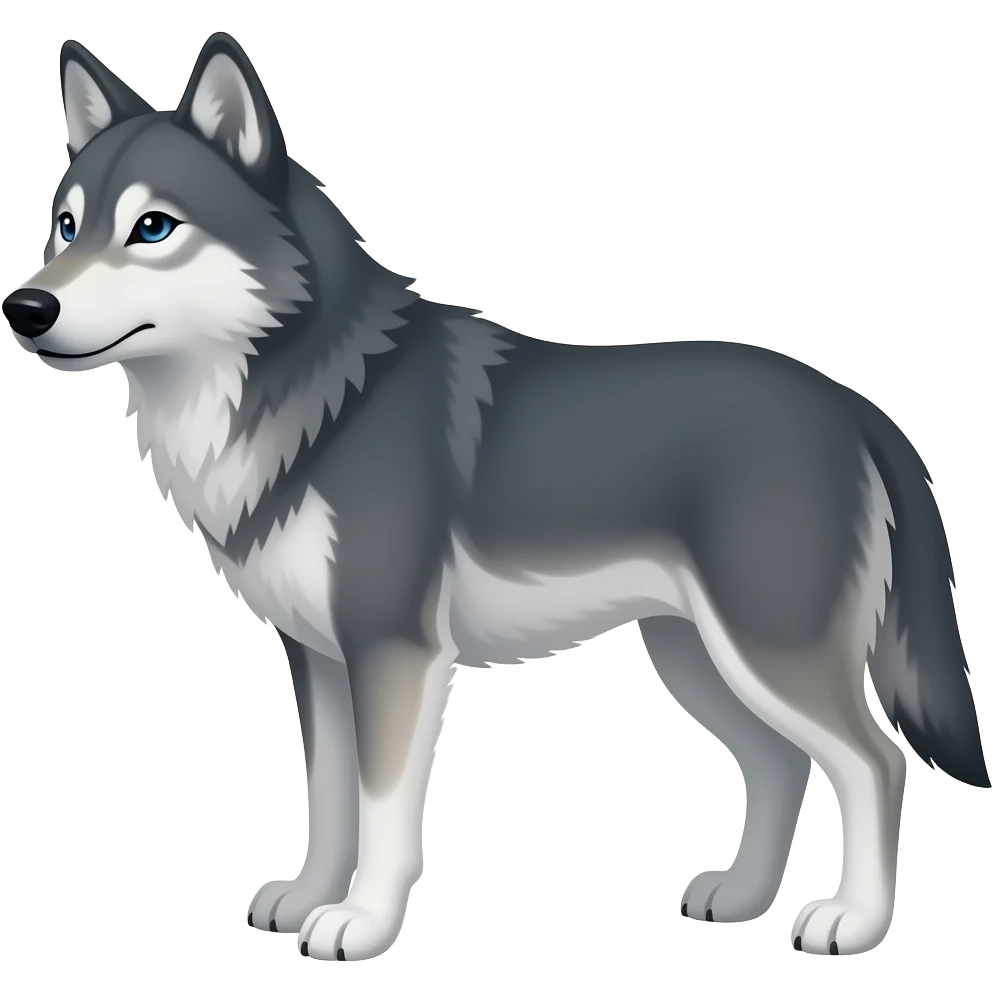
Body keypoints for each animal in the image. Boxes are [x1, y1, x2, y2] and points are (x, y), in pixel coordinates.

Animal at [3, 31, 988, 962]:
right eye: (65, 225)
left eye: (152, 228)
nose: (25, 308)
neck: (320, 392)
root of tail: (855, 406)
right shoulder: (316, 655)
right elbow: (329, 800)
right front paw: (308, 895)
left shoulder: (392, 651)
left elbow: (384, 811)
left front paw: (358, 923)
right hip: (695, 657)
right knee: (782, 764)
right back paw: (742, 898)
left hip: (763, 651)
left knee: (874, 762)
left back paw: (851, 921)